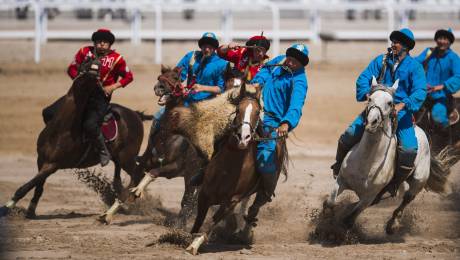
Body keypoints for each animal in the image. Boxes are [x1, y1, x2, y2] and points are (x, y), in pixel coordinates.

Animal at [0, 58, 144, 223]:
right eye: (85, 64)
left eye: (97, 71)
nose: (93, 71)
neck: (62, 128)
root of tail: (135, 115)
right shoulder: (41, 159)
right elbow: (38, 186)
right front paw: (30, 211)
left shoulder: (53, 165)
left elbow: (26, 186)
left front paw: (5, 208)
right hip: (119, 158)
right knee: (119, 178)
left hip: (127, 158)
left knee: (137, 175)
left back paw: (120, 204)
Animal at [184, 84, 288, 256]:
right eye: (238, 109)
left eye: (257, 112)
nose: (243, 137)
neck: (228, 168)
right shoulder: (204, 194)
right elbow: (199, 221)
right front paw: (184, 237)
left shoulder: (231, 201)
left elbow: (211, 222)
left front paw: (194, 245)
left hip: (263, 192)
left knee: (253, 210)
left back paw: (244, 235)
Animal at [326, 76, 452, 235]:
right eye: (369, 98)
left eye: (390, 102)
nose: (372, 122)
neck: (367, 161)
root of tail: (420, 130)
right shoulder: (341, 180)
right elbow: (330, 203)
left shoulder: (369, 197)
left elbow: (349, 219)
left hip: (418, 181)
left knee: (406, 200)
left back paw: (393, 225)